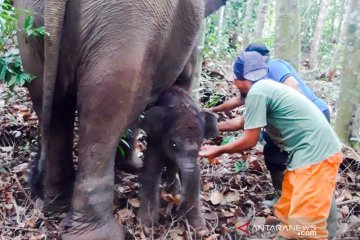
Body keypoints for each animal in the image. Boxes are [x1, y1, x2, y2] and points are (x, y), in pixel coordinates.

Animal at [138, 86, 218, 231]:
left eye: (201, 143)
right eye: (173, 143)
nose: (179, 207)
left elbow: (191, 172)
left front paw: (199, 228)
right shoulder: (155, 139)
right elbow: (151, 169)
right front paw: (146, 224)